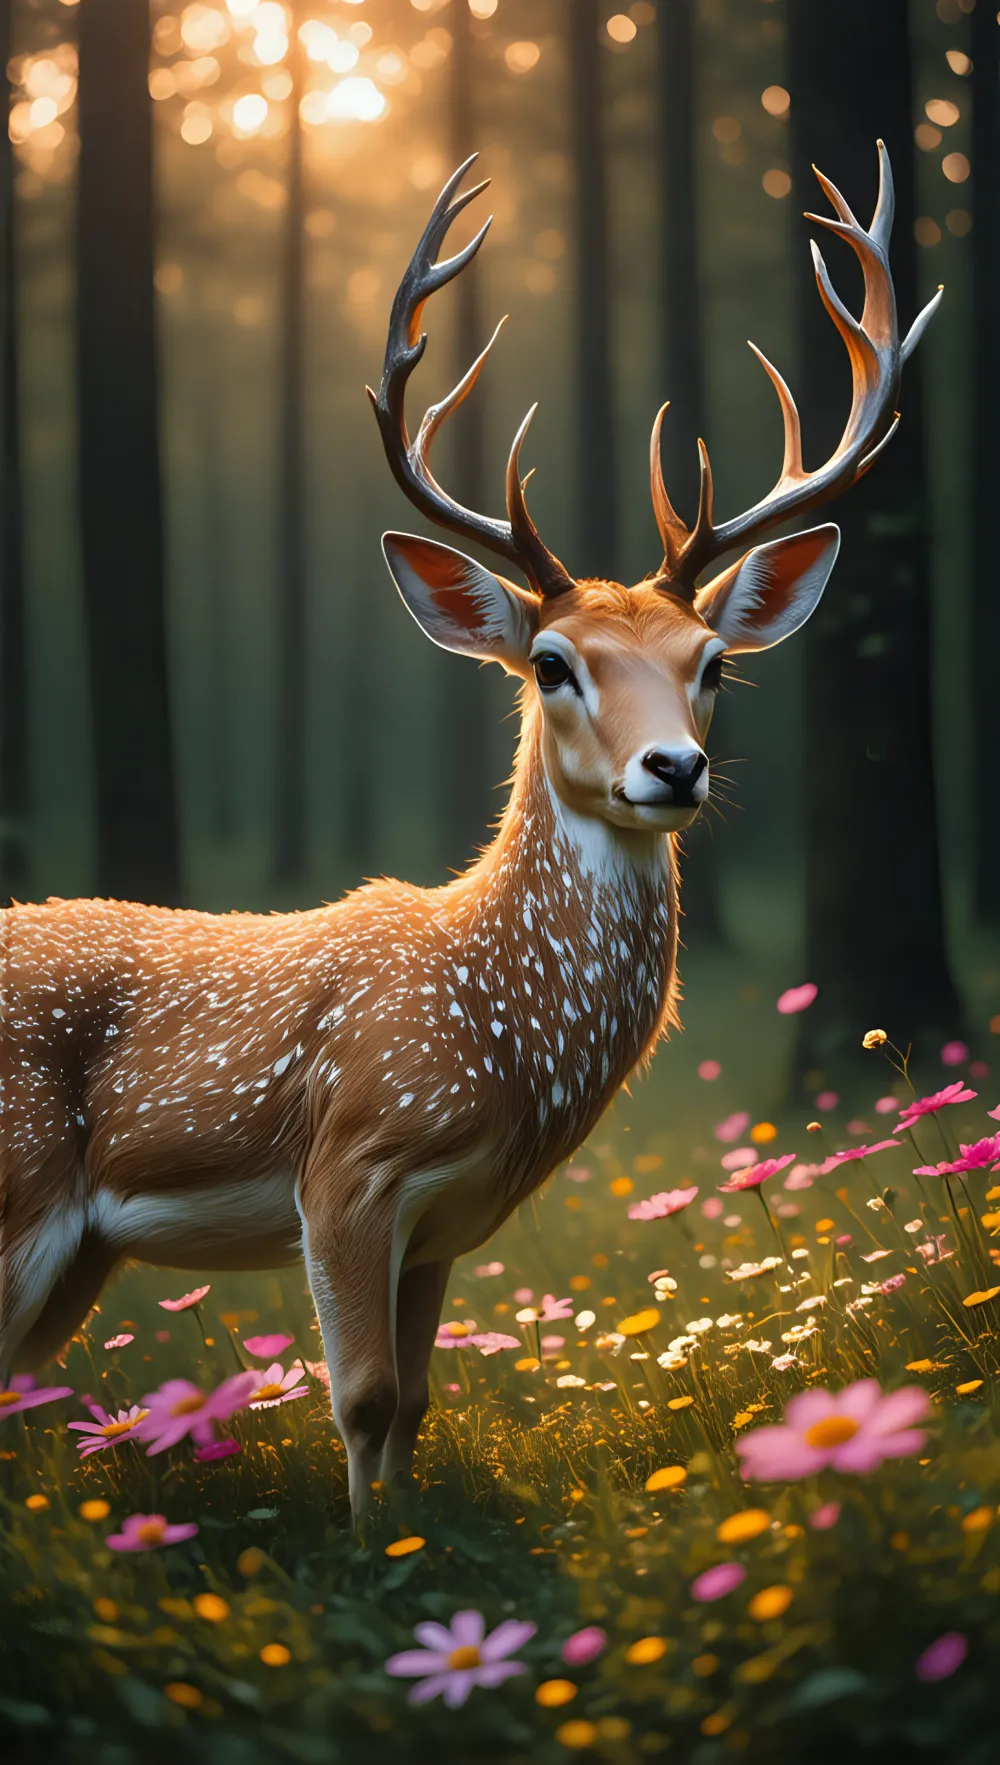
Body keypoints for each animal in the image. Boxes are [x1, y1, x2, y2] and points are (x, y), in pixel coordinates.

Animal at [0, 146, 938, 1515]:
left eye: (712, 664)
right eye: (551, 663)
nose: (673, 767)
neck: (488, 1020)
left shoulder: (442, 1223)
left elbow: (414, 1405)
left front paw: (398, 1536)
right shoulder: (347, 1162)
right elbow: (359, 1394)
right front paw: (360, 1554)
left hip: (70, 1260)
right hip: (19, 1187)